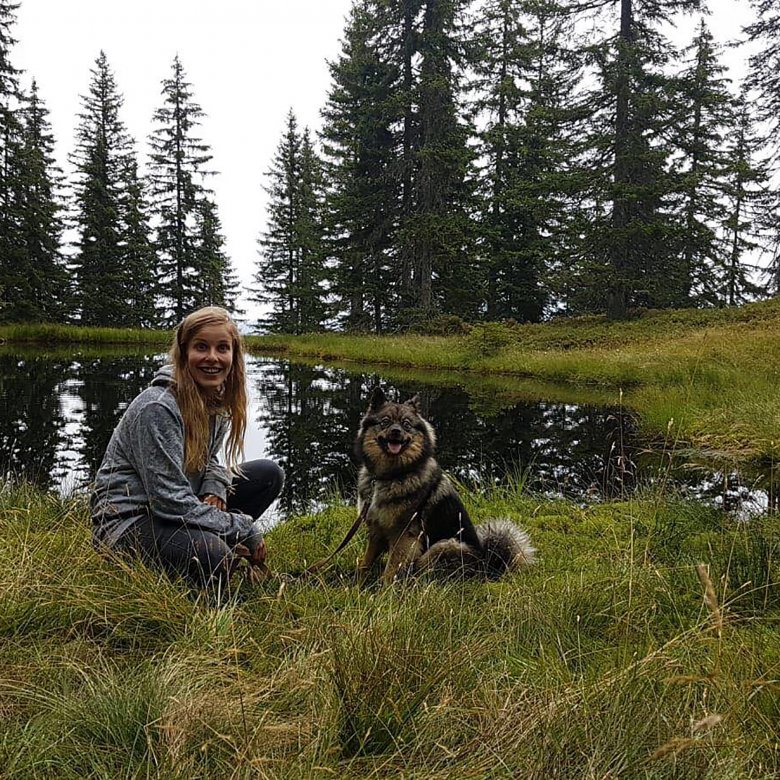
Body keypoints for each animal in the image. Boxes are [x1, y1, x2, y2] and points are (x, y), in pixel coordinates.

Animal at [354, 386, 532, 580]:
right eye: (385, 422)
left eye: (406, 424)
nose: (396, 431)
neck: (390, 475)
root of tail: (487, 567)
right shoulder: (376, 529)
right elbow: (366, 562)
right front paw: (359, 583)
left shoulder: (404, 537)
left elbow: (391, 570)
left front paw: (384, 587)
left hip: (444, 546)